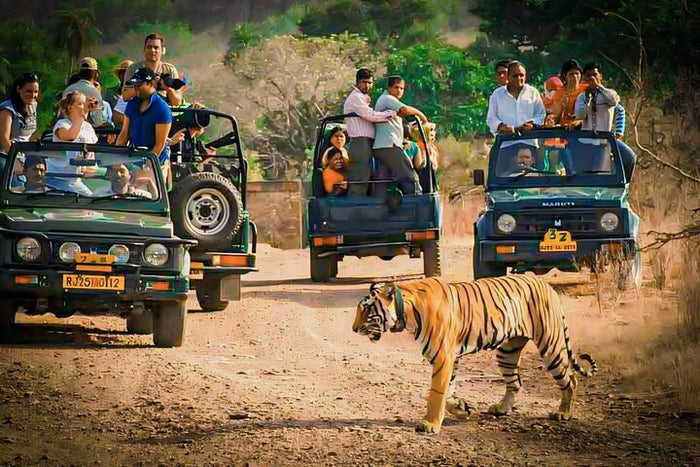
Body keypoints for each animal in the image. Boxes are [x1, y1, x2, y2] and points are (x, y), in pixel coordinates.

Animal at [352, 275, 596, 434]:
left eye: (366, 309)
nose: (354, 329)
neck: (407, 311)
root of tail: (546, 285)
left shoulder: (443, 356)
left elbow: (436, 393)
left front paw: (430, 424)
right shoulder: (449, 357)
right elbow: (448, 391)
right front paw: (461, 409)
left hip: (551, 345)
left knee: (570, 379)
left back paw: (563, 413)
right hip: (507, 351)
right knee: (515, 382)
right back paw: (501, 408)